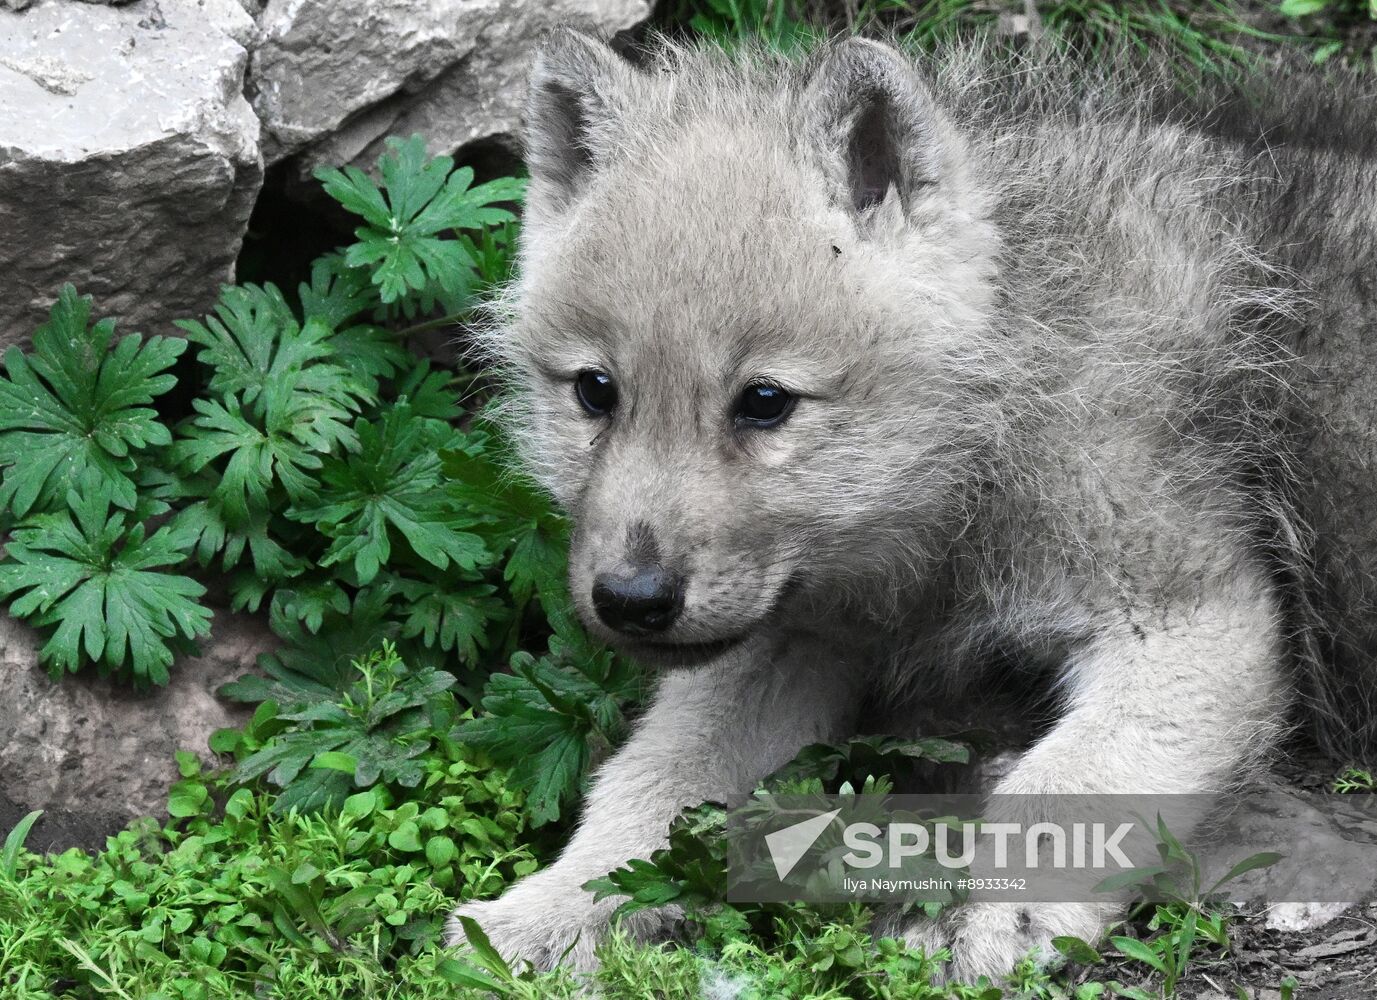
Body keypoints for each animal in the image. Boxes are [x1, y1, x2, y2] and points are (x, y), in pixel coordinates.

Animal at [447, 28, 1377, 982]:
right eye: (595, 392)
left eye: (765, 402)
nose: (631, 602)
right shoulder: (796, 634)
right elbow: (656, 776)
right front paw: (555, 906)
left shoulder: (1192, 621)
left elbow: (1064, 788)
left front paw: (985, 913)